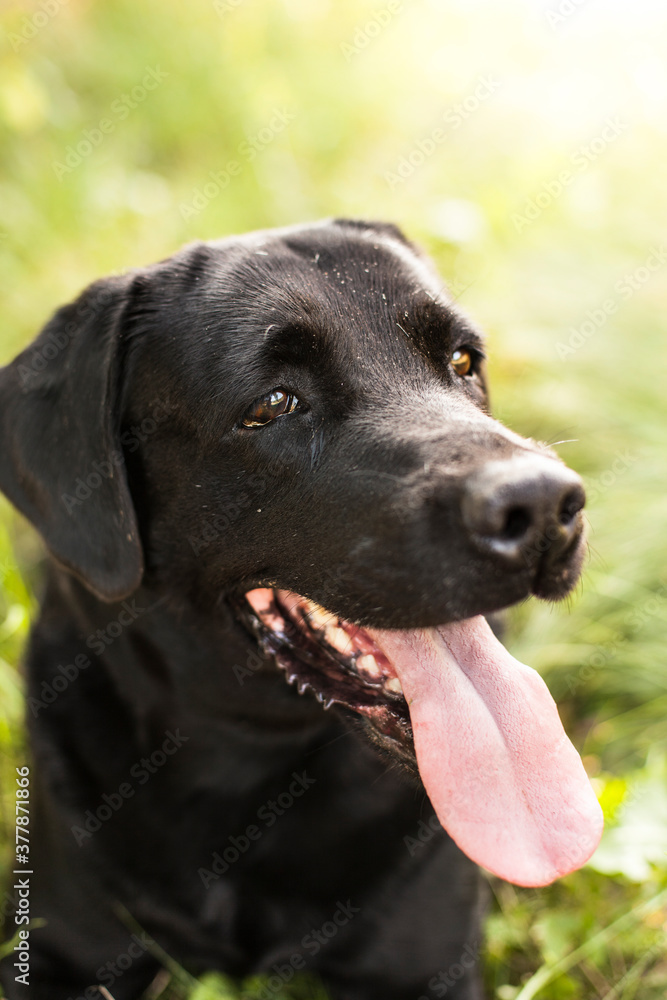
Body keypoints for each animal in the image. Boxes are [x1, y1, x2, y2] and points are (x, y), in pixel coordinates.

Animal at [0, 221, 604, 1000]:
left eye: (462, 360)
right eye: (274, 403)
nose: (542, 505)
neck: (248, 765)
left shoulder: (426, 965)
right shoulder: (56, 948)